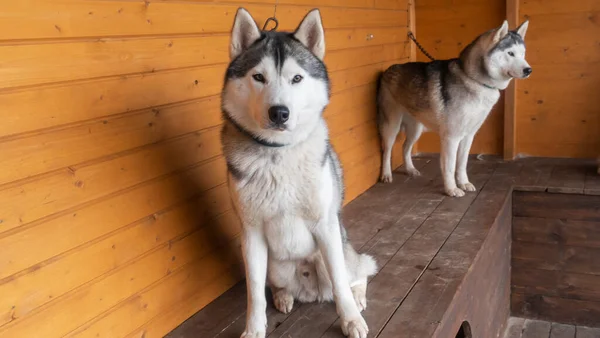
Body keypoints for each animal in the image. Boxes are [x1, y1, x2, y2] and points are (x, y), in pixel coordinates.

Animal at [223, 7, 376, 338]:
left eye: (296, 78)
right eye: (258, 77)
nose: (279, 112)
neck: (278, 154)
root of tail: (311, 290)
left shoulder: (325, 225)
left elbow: (341, 286)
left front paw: (351, 321)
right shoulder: (251, 233)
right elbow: (254, 292)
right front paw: (254, 329)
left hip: (338, 252)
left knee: (357, 273)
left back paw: (358, 298)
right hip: (276, 266)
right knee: (275, 285)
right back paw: (283, 297)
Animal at [378, 19, 532, 197]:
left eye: (523, 54)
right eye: (510, 53)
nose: (529, 70)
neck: (474, 79)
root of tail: (388, 69)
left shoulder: (468, 136)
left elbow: (461, 164)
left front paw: (464, 183)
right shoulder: (451, 137)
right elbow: (450, 167)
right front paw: (452, 189)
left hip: (416, 129)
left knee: (405, 147)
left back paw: (410, 169)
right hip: (392, 127)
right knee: (387, 151)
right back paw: (386, 175)